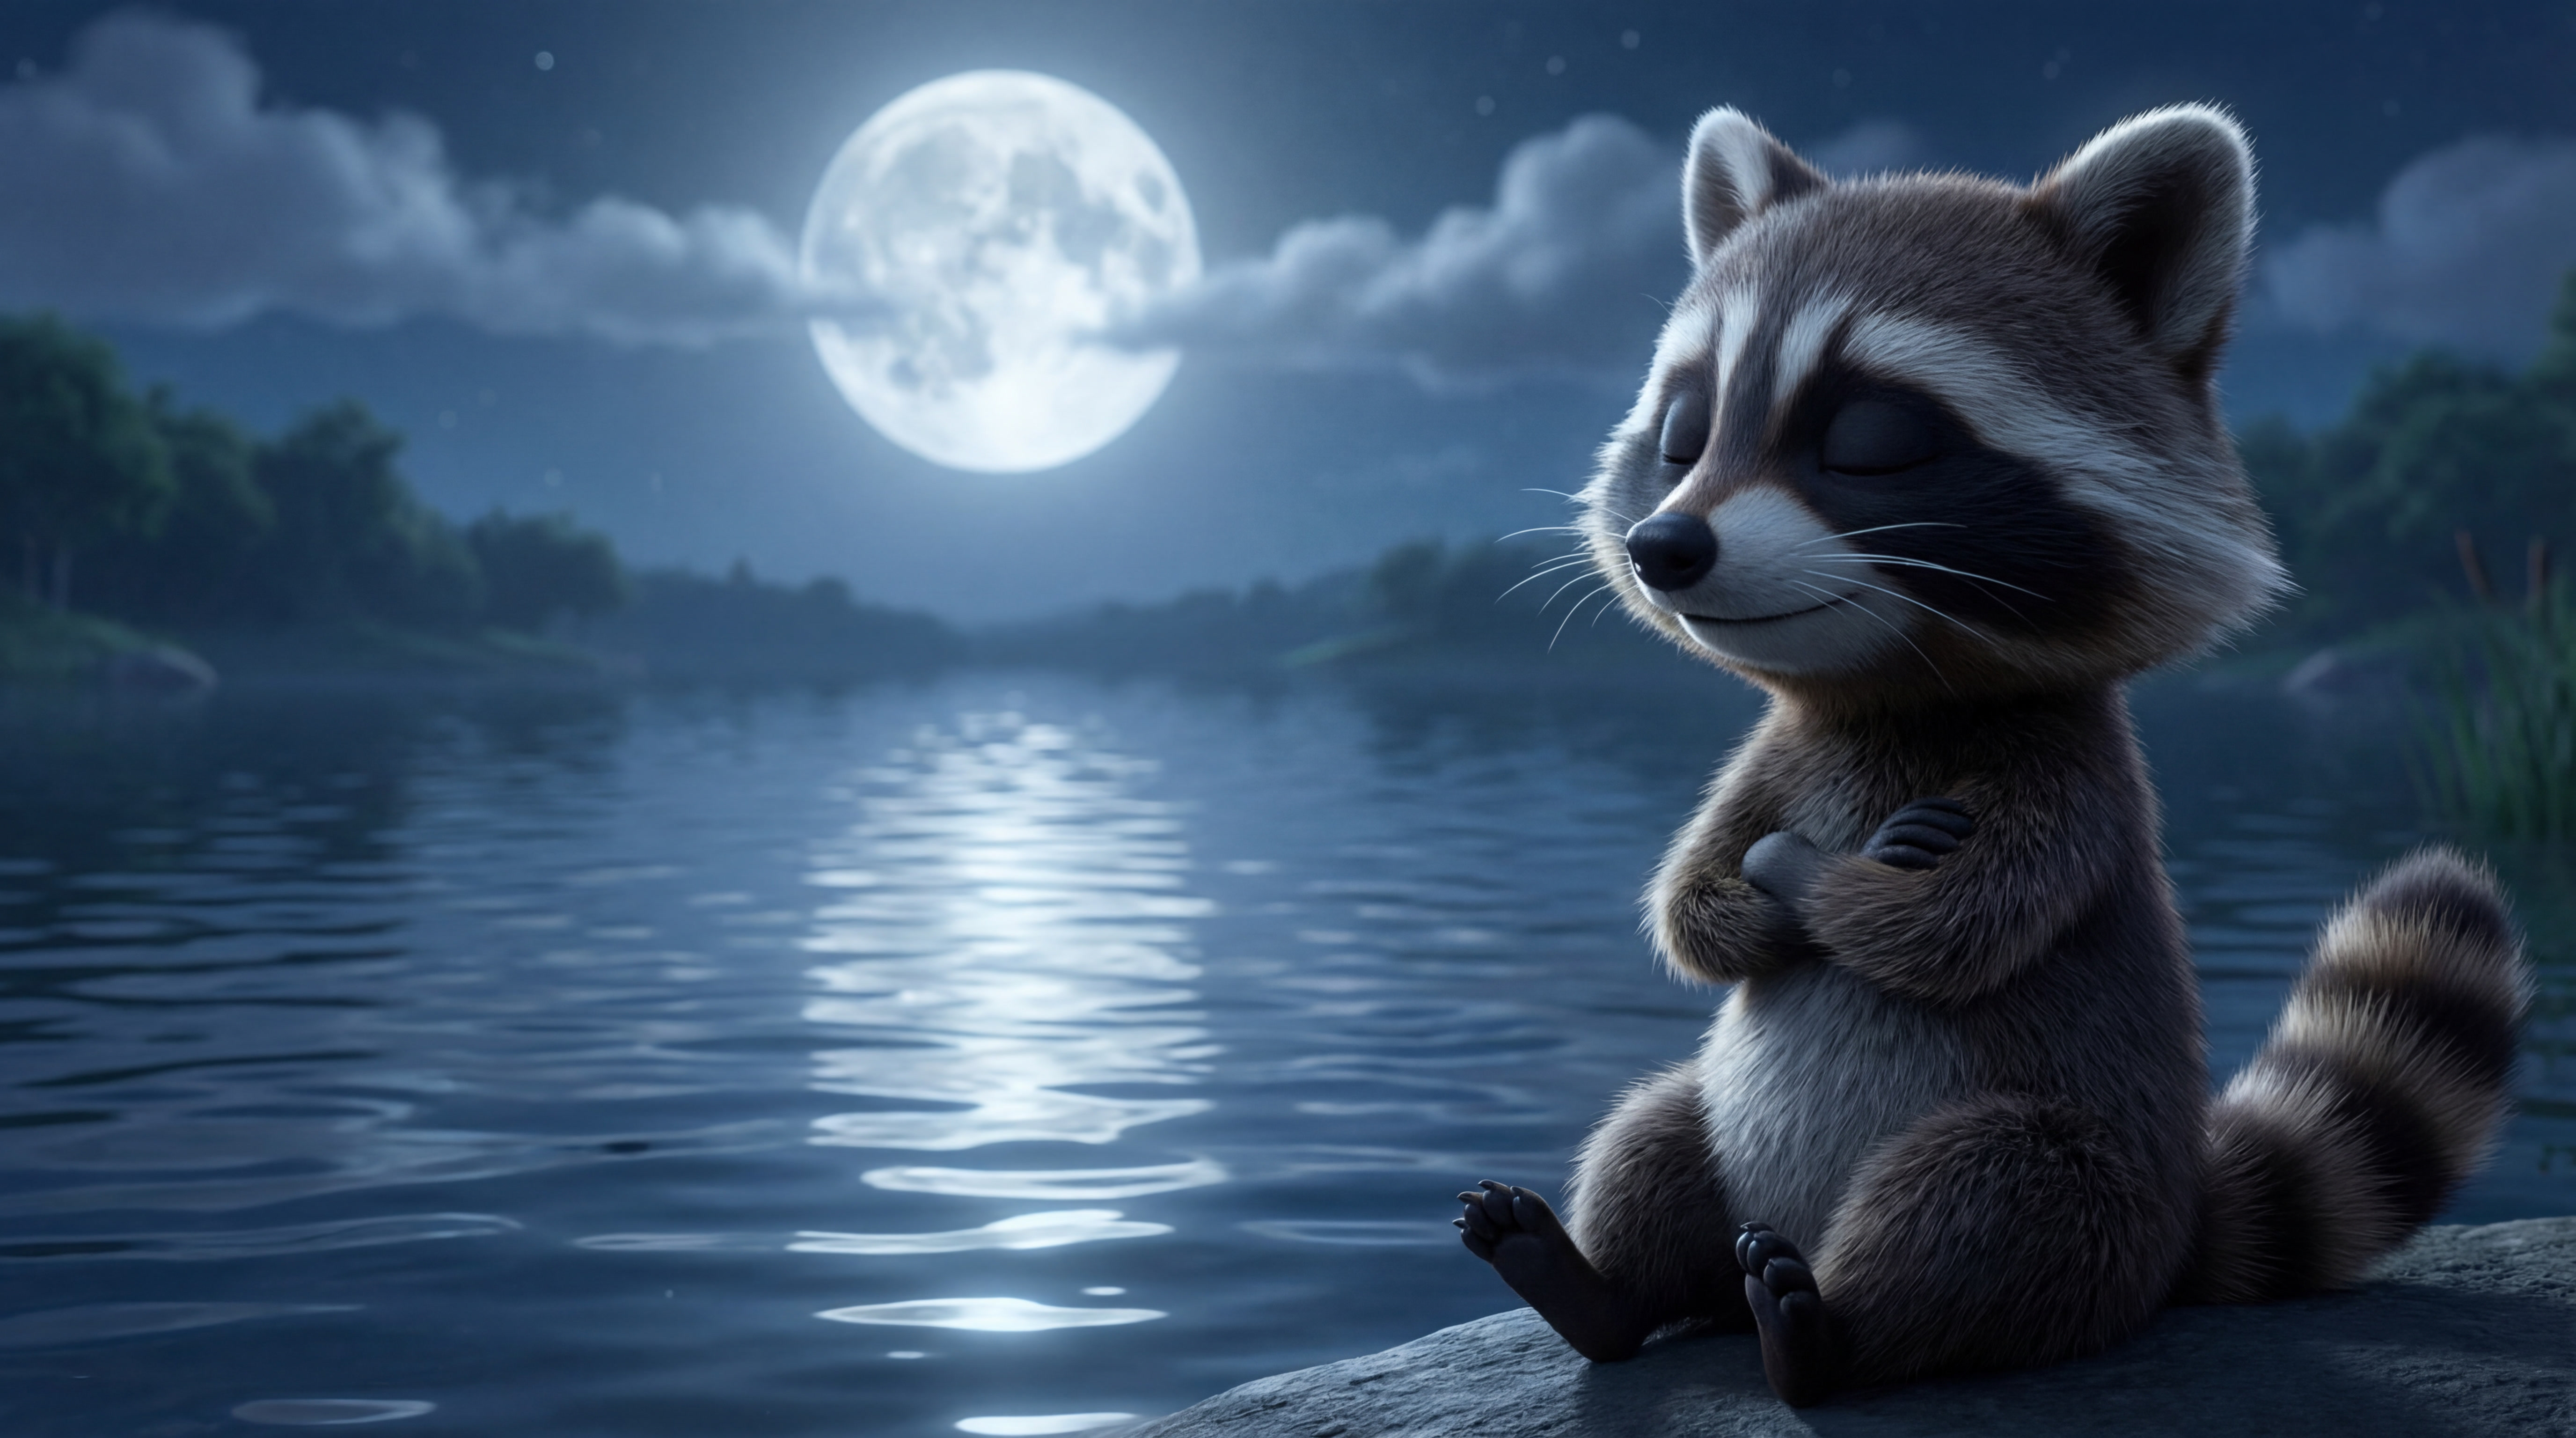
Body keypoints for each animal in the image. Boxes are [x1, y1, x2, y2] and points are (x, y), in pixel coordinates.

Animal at [1452, 105, 2531, 1406]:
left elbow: (1959, 927)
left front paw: (1817, 876)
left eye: (1867, 438)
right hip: (1714, 1123)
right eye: (1681, 435)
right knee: (1650, 1134)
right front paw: (1753, 891)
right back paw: (1598, 1289)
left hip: (2071, 1165)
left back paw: (1827, 1342)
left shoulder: (2070, 771)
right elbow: (1687, 900)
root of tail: (2179, 1231)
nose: (1663, 547)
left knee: (1991, 1207)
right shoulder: (1776, 751)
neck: (1891, 694)